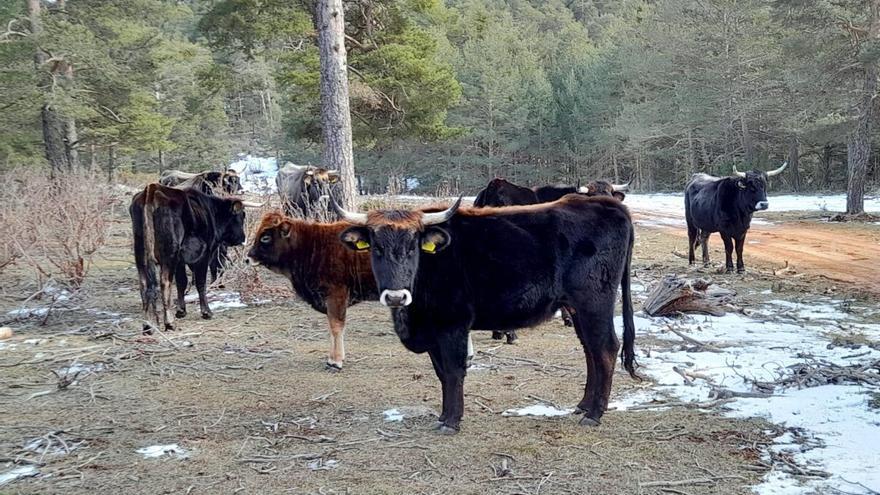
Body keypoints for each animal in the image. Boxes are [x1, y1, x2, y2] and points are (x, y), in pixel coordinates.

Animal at [130, 183, 254, 332]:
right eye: (241, 216)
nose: (243, 238)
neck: (210, 212)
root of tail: (152, 189)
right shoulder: (203, 255)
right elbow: (200, 282)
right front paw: (206, 312)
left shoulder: (180, 260)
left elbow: (181, 282)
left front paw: (181, 310)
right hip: (169, 254)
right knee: (164, 282)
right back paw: (169, 322)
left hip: (140, 253)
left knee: (144, 285)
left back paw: (148, 324)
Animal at [334, 195, 638, 434]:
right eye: (377, 248)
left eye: (412, 247)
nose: (396, 296)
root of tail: (605, 203)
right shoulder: (434, 332)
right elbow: (441, 372)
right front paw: (443, 415)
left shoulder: (453, 324)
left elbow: (453, 371)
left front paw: (451, 421)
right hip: (577, 309)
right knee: (590, 351)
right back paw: (583, 405)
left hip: (594, 303)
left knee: (605, 349)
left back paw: (594, 414)